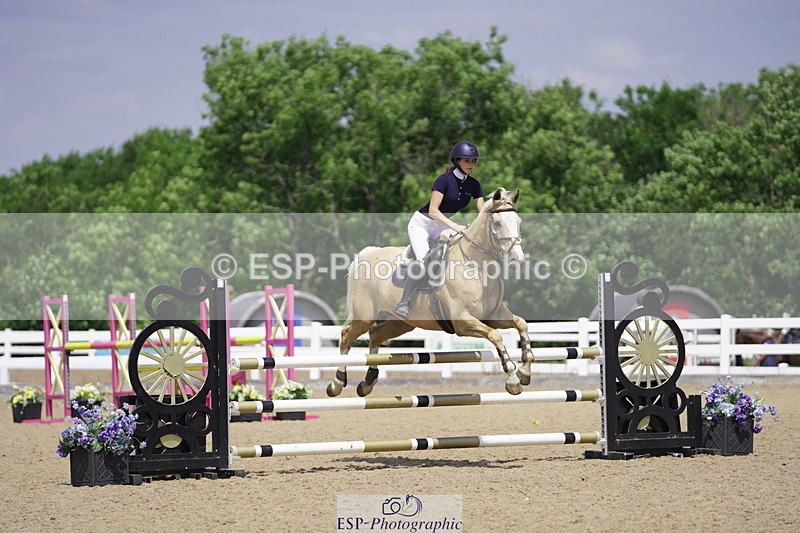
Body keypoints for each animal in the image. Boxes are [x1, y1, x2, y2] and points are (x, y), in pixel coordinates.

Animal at [326, 188, 533, 397]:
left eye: (519, 222)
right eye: (498, 224)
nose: (518, 260)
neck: (475, 265)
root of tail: (368, 254)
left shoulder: (493, 315)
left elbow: (521, 324)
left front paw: (524, 371)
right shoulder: (463, 321)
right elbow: (496, 336)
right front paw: (513, 379)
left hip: (402, 322)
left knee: (376, 335)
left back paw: (368, 382)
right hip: (365, 316)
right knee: (346, 337)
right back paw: (337, 383)